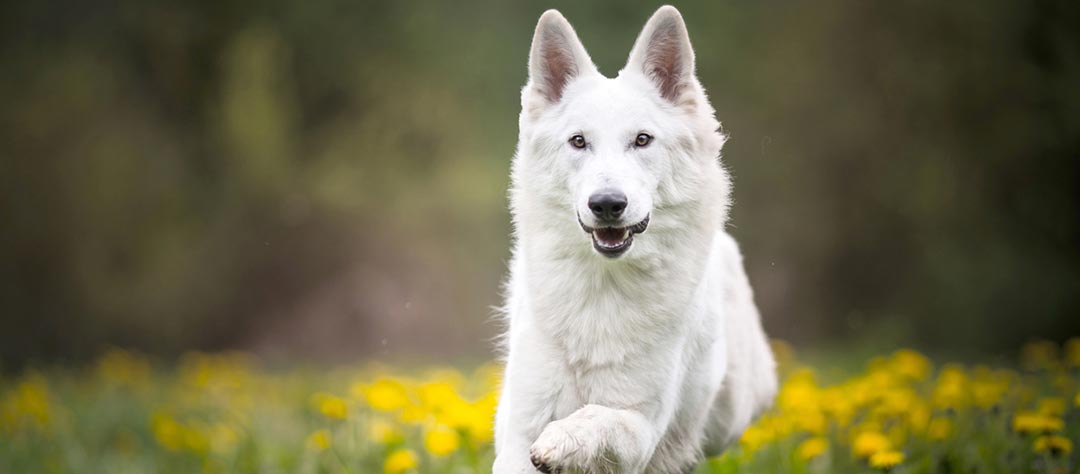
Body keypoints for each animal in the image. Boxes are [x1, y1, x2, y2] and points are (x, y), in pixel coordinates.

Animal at [494, 6, 781, 474]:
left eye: (642, 140)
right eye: (578, 141)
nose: (607, 204)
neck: (602, 289)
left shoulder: (641, 424)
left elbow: (601, 418)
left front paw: (564, 438)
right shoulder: (519, 427)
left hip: (729, 417)